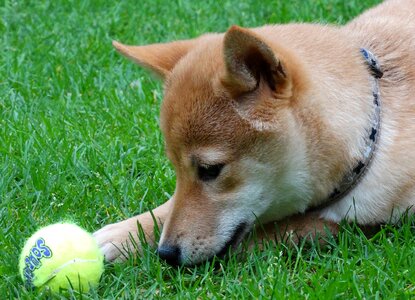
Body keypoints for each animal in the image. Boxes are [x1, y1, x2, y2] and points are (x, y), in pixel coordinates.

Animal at [93, 0, 415, 268]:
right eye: (176, 170)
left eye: (210, 170)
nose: (166, 254)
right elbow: (171, 207)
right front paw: (126, 234)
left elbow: (288, 228)